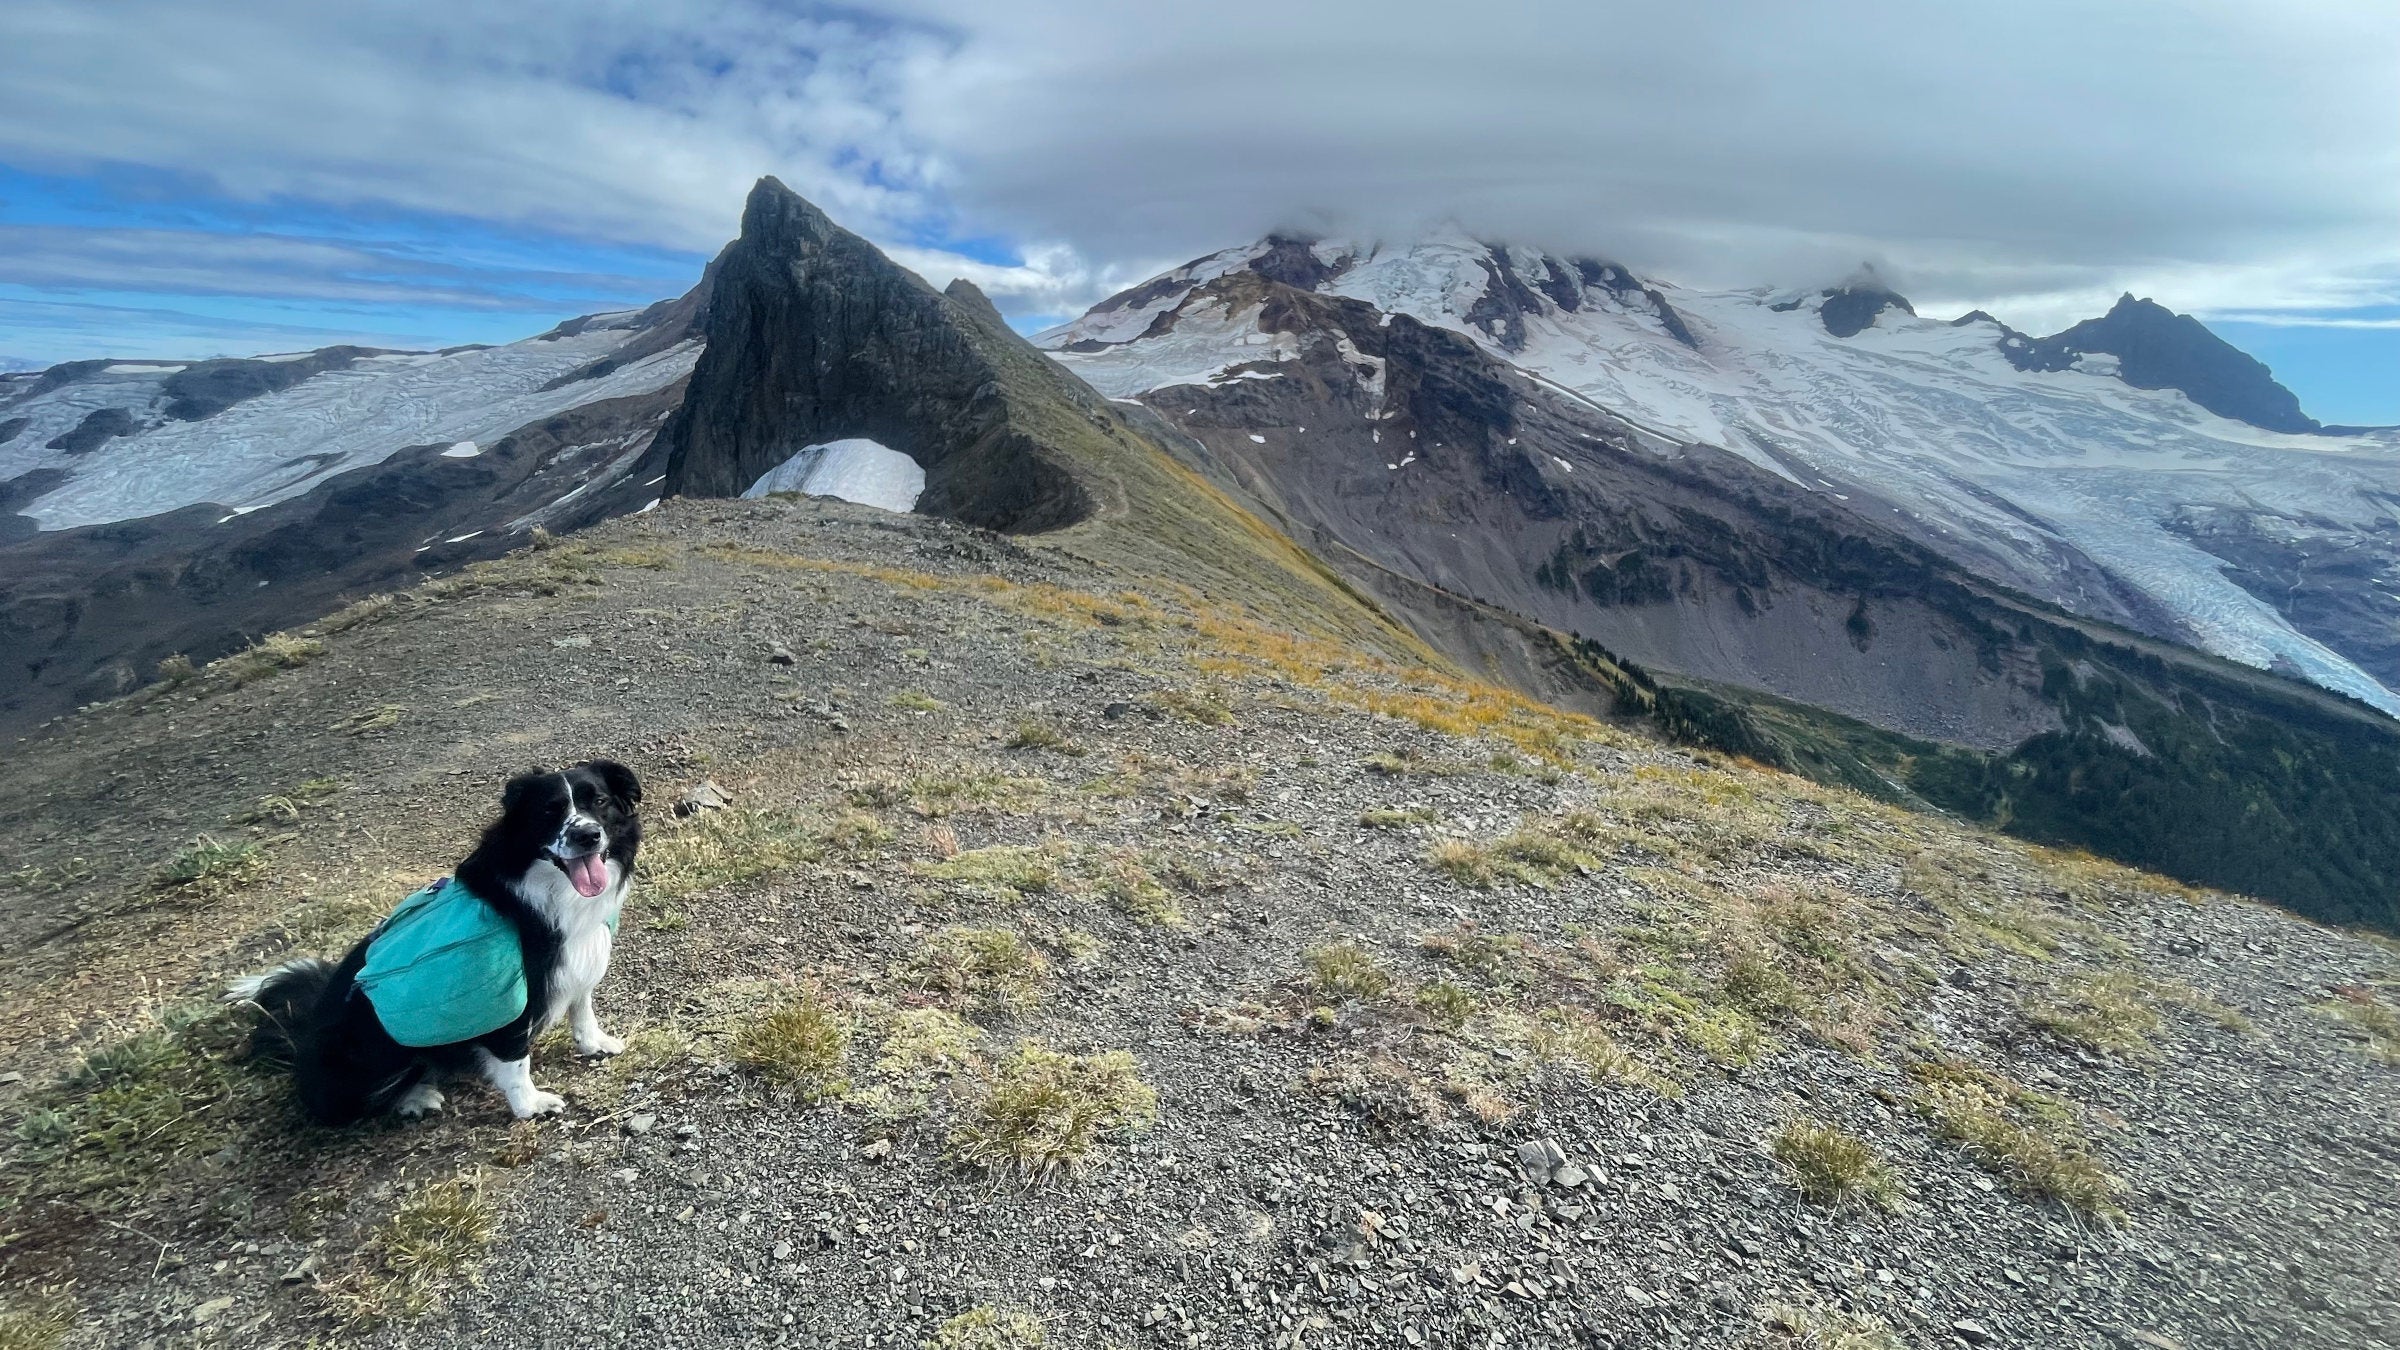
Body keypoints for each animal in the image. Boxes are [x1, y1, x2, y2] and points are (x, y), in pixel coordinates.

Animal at [229, 759, 643, 1124]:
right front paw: (529, 1105)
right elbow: (515, 1058)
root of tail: (301, 1040)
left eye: (599, 801)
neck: (547, 894)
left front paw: (593, 1043)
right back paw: (413, 1097)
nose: (586, 835)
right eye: (548, 811)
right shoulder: (507, 994)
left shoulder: (576, 963)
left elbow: (581, 1006)